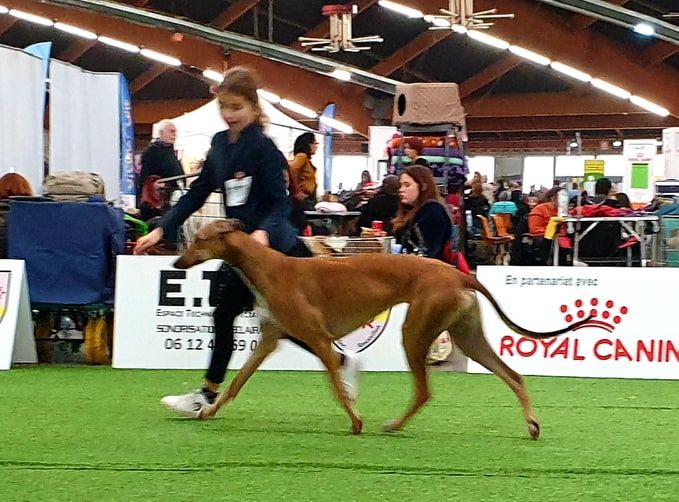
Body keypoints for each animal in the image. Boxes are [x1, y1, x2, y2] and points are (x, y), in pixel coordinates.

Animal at [174, 220, 588, 440]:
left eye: (200, 239)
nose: (177, 262)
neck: (268, 267)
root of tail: (458, 273)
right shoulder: (270, 340)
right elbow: (235, 383)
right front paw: (207, 411)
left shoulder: (320, 341)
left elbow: (338, 389)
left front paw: (356, 421)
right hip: (468, 339)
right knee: (514, 375)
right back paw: (531, 424)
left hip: (415, 333)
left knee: (424, 391)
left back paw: (393, 424)